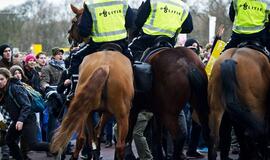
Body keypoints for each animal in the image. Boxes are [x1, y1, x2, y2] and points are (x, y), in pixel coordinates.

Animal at [49, 4, 134, 159]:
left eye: (74, 21)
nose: (69, 38)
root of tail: (106, 66)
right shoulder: (106, 112)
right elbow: (98, 132)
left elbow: (92, 135)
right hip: (121, 115)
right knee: (117, 144)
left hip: (89, 111)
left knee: (83, 138)